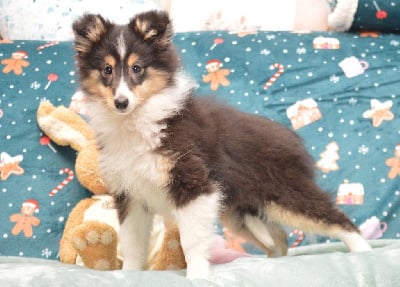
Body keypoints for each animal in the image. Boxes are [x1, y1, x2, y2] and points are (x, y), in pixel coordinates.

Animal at [72, 10, 372, 280]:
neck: (137, 121)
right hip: (240, 212)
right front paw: (129, 275)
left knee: (336, 219)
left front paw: (197, 276)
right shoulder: (131, 194)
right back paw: (268, 266)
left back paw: (364, 253)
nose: (121, 102)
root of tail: (293, 139)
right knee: (279, 238)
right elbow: (133, 244)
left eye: (137, 69)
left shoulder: (195, 185)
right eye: (107, 70)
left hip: (286, 193)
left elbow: (191, 241)